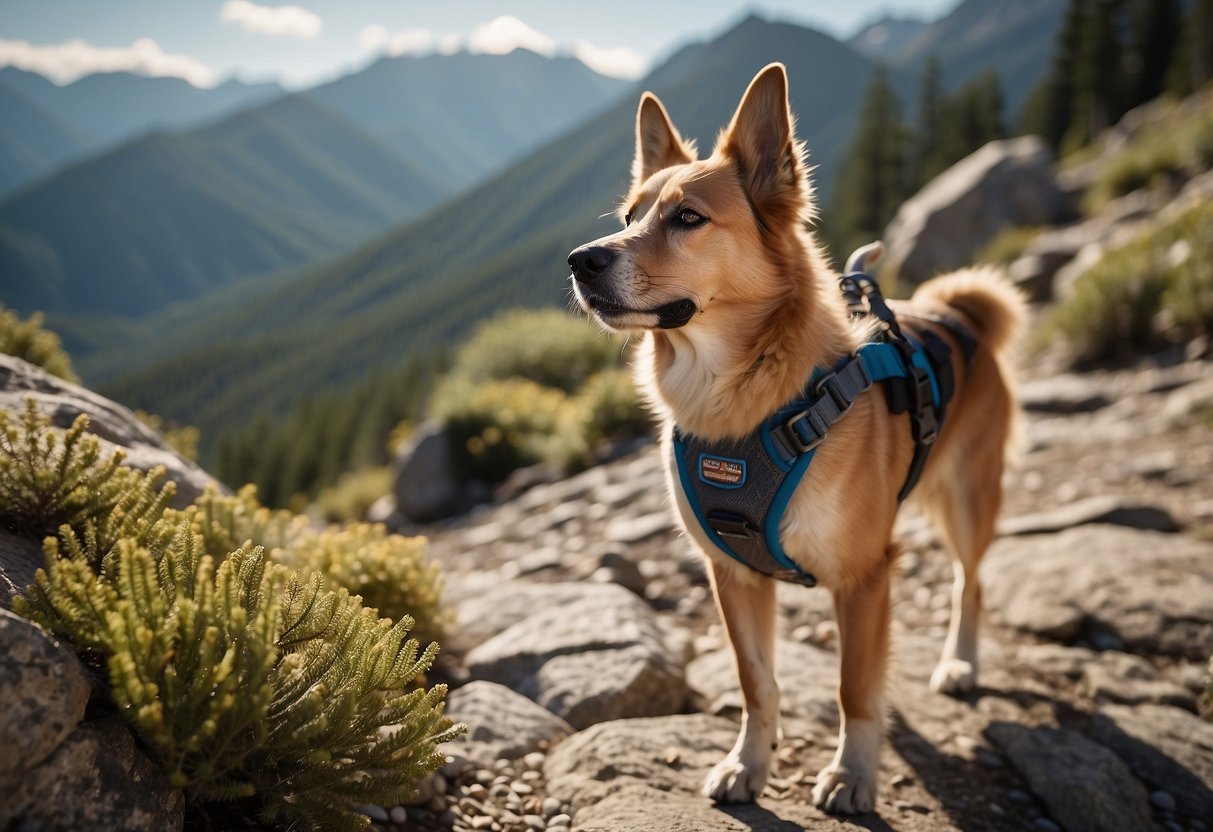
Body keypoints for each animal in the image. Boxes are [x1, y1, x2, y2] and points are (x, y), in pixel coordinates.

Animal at [567, 63, 1023, 815]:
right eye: (629, 217)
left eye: (686, 218)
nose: (580, 260)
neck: (735, 403)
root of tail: (957, 312)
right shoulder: (733, 575)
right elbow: (757, 684)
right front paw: (747, 765)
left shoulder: (864, 577)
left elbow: (853, 688)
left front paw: (852, 774)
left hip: (967, 499)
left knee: (970, 584)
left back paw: (960, 661)